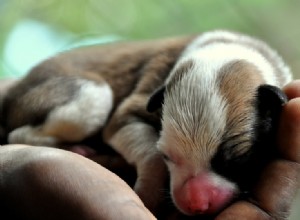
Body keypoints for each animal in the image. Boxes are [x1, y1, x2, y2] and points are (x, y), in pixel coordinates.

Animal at [0, 30, 290, 216]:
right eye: (167, 156)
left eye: (236, 162)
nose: (195, 203)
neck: (225, 47)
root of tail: (14, 92)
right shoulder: (127, 113)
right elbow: (145, 149)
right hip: (84, 95)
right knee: (19, 134)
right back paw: (74, 147)